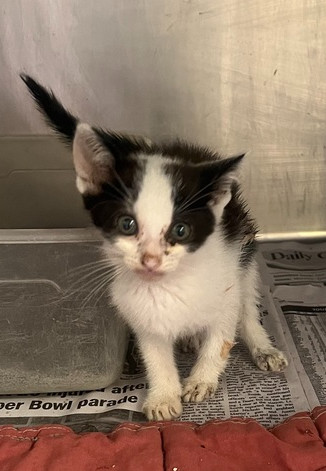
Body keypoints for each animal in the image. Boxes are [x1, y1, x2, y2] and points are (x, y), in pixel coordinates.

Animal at [21, 75, 288, 422]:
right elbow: (156, 356)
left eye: (180, 230)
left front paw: (201, 381)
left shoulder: (225, 287)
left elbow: (221, 338)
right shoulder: (139, 313)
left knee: (247, 307)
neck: (166, 287)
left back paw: (262, 346)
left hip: (244, 251)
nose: (150, 259)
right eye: (127, 225)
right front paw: (163, 396)